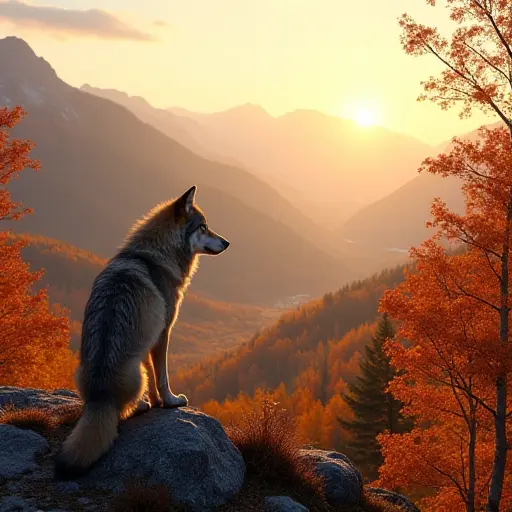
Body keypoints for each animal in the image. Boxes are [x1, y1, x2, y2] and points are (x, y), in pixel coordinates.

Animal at [54, 186, 228, 478]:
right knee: (124, 411)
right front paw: (170, 401)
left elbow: (157, 377)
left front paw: (159, 402)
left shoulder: (148, 338)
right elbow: (163, 376)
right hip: (137, 375)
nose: (227, 242)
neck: (153, 255)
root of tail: (100, 397)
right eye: (203, 226)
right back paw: (142, 404)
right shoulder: (163, 332)